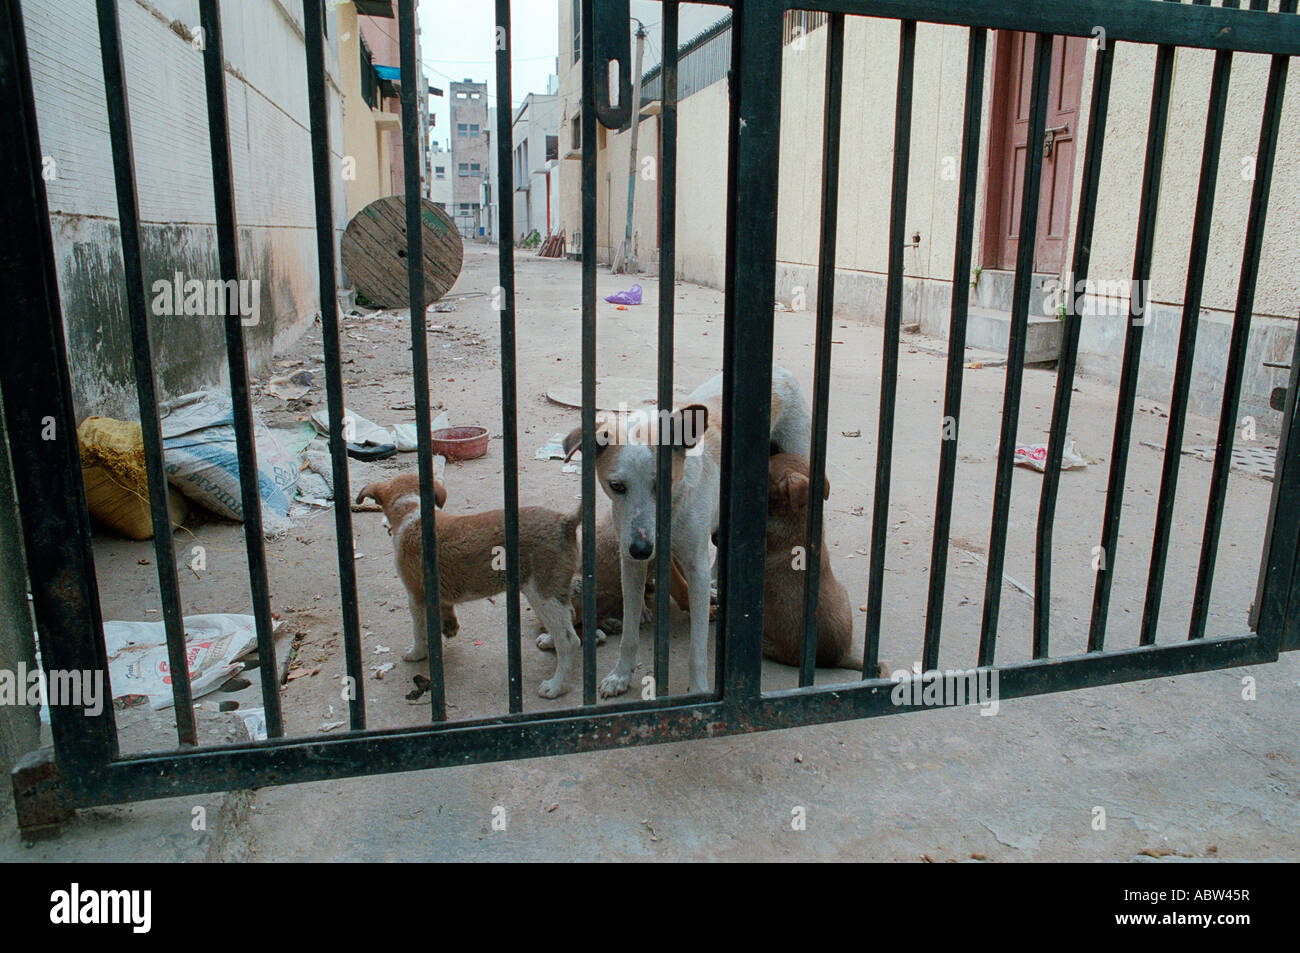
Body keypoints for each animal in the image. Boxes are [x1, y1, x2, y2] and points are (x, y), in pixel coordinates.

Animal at [353, 473, 582, 696]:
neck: (413, 512)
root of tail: (565, 522)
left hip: (542, 593)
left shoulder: (416, 595)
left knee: (569, 641)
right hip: (553, 593)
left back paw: (556, 686)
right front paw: (449, 627)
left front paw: (417, 652)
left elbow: (419, 630)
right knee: (568, 619)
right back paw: (549, 640)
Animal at [561, 364, 806, 691]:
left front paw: (700, 688)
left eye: (661, 484)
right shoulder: (631, 564)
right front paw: (621, 674)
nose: (642, 549)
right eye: (616, 486)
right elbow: (629, 633)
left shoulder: (695, 568)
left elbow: (697, 648)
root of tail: (780, 370)